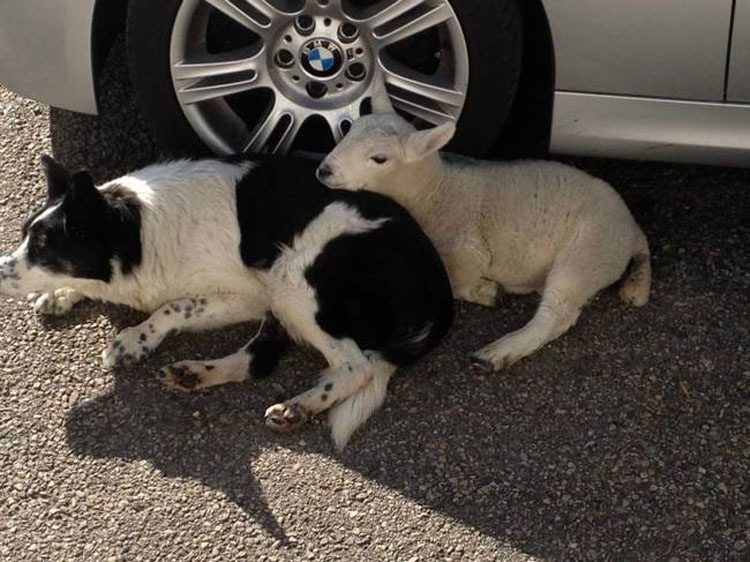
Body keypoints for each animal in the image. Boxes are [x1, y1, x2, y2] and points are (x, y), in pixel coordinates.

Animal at [318, 79, 652, 368]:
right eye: (347, 132)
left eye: (379, 158)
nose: (324, 170)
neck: (436, 190)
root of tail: (632, 228)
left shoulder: (465, 249)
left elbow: (456, 282)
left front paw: (488, 291)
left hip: (590, 247)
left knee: (557, 312)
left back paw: (499, 352)